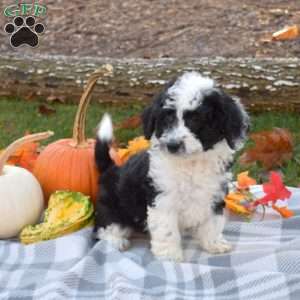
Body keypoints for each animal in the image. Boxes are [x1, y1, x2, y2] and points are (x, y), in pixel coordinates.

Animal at [94, 71, 248, 262]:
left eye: (196, 119)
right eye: (167, 119)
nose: (172, 145)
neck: (191, 163)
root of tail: (111, 168)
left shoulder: (214, 195)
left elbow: (213, 222)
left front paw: (214, 243)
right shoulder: (162, 199)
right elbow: (167, 229)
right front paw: (169, 255)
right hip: (111, 206)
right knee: (105, 226)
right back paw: (116, 240)